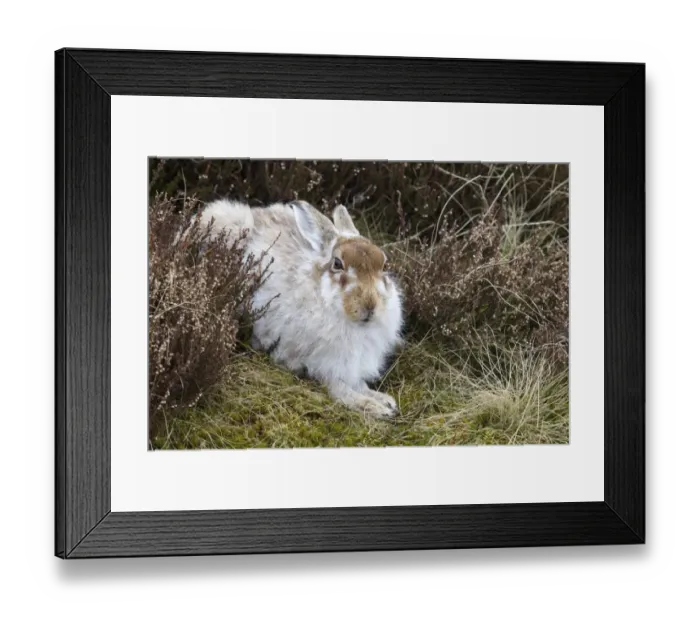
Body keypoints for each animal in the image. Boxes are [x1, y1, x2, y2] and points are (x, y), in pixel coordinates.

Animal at [199, 198, 404, 419]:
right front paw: (373, 406)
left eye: (383, 265)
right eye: (337, 263)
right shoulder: (325, 364)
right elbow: (338, 388)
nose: (370, 305)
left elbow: (359, 383)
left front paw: (384, 400)